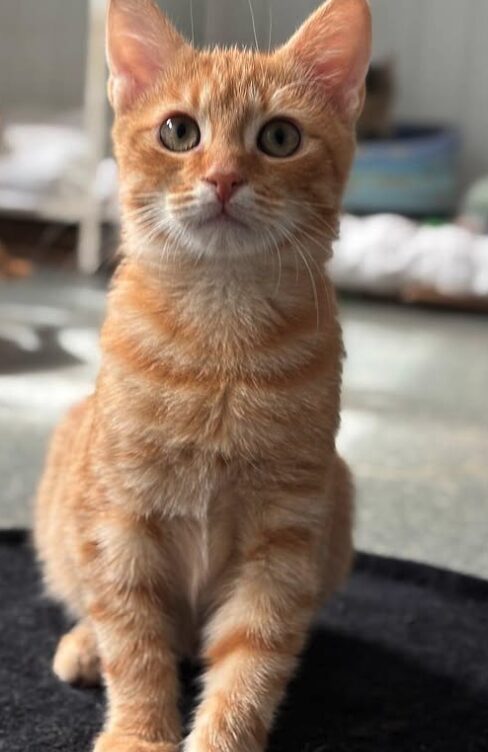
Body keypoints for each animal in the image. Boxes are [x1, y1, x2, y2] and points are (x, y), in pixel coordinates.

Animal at [34, 1, 370, 752]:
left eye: (280, 137)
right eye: (179, 132)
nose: (222, 178)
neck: (221, 335)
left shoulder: (284, 538)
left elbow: (252, 661)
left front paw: (221, 738)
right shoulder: (120, 520)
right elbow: (133, 640)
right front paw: (138, 733)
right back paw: (84, 646)